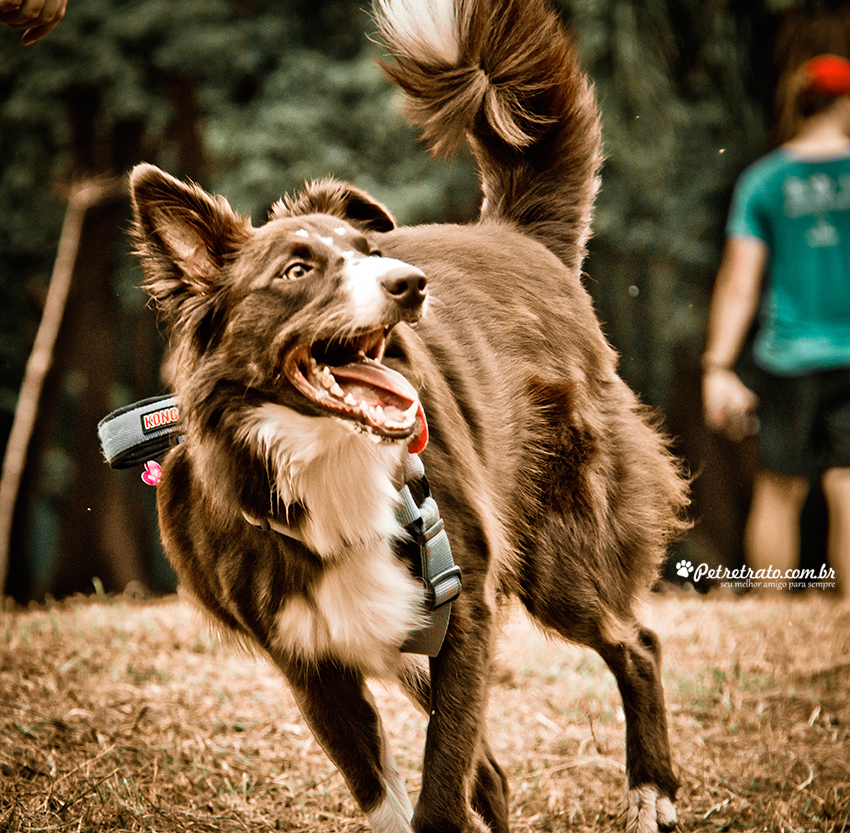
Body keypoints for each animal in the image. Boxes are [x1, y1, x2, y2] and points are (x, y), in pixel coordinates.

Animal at [131, 1, 688, 832]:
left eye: (369, 250)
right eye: (297, 269)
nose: (410, 282)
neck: (329, 455)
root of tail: (517, 236)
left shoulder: (467, 599)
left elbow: (442, 782)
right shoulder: (309, 652)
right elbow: (389, 789)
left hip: (558, 547)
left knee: (636, 641)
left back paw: (651, 789)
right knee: (495, 767)